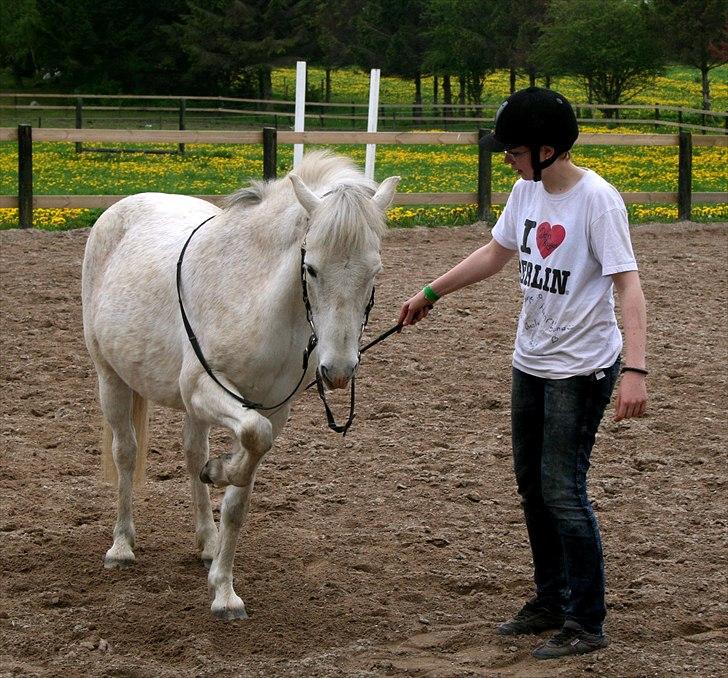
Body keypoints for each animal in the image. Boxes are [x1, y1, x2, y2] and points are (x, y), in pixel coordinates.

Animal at [83, 153, 400, 620]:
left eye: (374, 271)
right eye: (310, 267)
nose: (338, 370)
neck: (254, 295)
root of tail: (120, 208)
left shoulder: (271, 408)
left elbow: (239, 492)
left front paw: (224, 590)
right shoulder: (205, 388)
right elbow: (252, 436)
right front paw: (219, 474)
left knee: (192, 453)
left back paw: (208, 542)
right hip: (112, 379)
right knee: (126, 453)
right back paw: (121, 546)